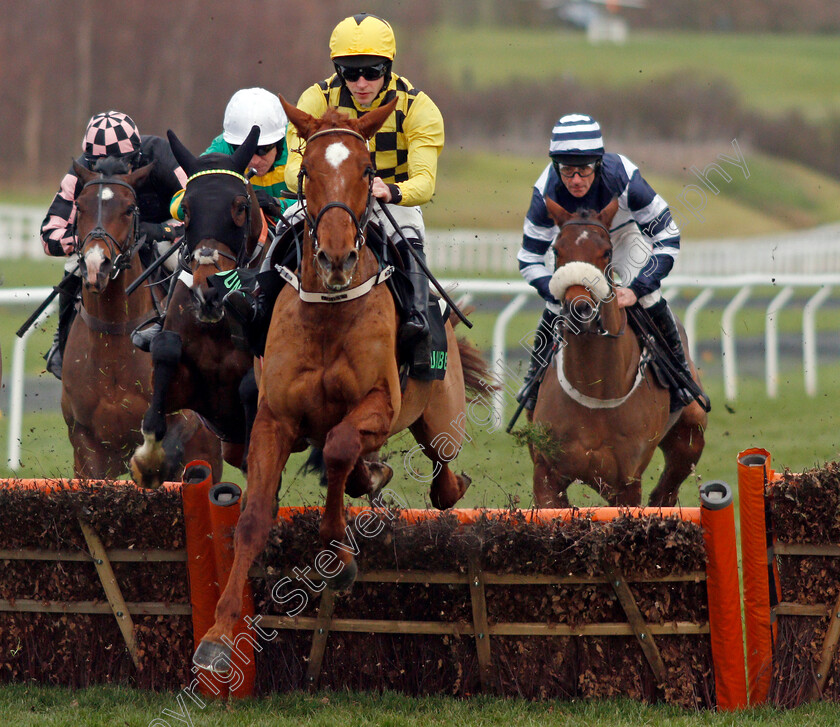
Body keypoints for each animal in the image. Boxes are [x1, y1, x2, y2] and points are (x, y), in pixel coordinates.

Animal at [130, 128, 266, 486]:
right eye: (186, 210)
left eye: (240, 207)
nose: (209, 292)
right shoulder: (191, 395)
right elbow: (165, 349)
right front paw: (149, 461)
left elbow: (252, 383)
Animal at [190, 98, 492, 672]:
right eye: (306, 171)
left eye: (368, 170)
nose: (335, 258)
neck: (329, 315)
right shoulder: (274, 418)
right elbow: (253, 517)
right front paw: (218, 634)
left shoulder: (378, 405)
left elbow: (338, 447)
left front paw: (337, 554)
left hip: (438, 411)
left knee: (439, 471)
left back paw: (436, 483)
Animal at [528, 196, 704, 510]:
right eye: (557, 250)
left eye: (606, 252)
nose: (580, 309)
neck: (595, 389)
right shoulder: (546, 473)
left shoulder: (626, 485)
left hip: (690, 437)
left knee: (667, 490)